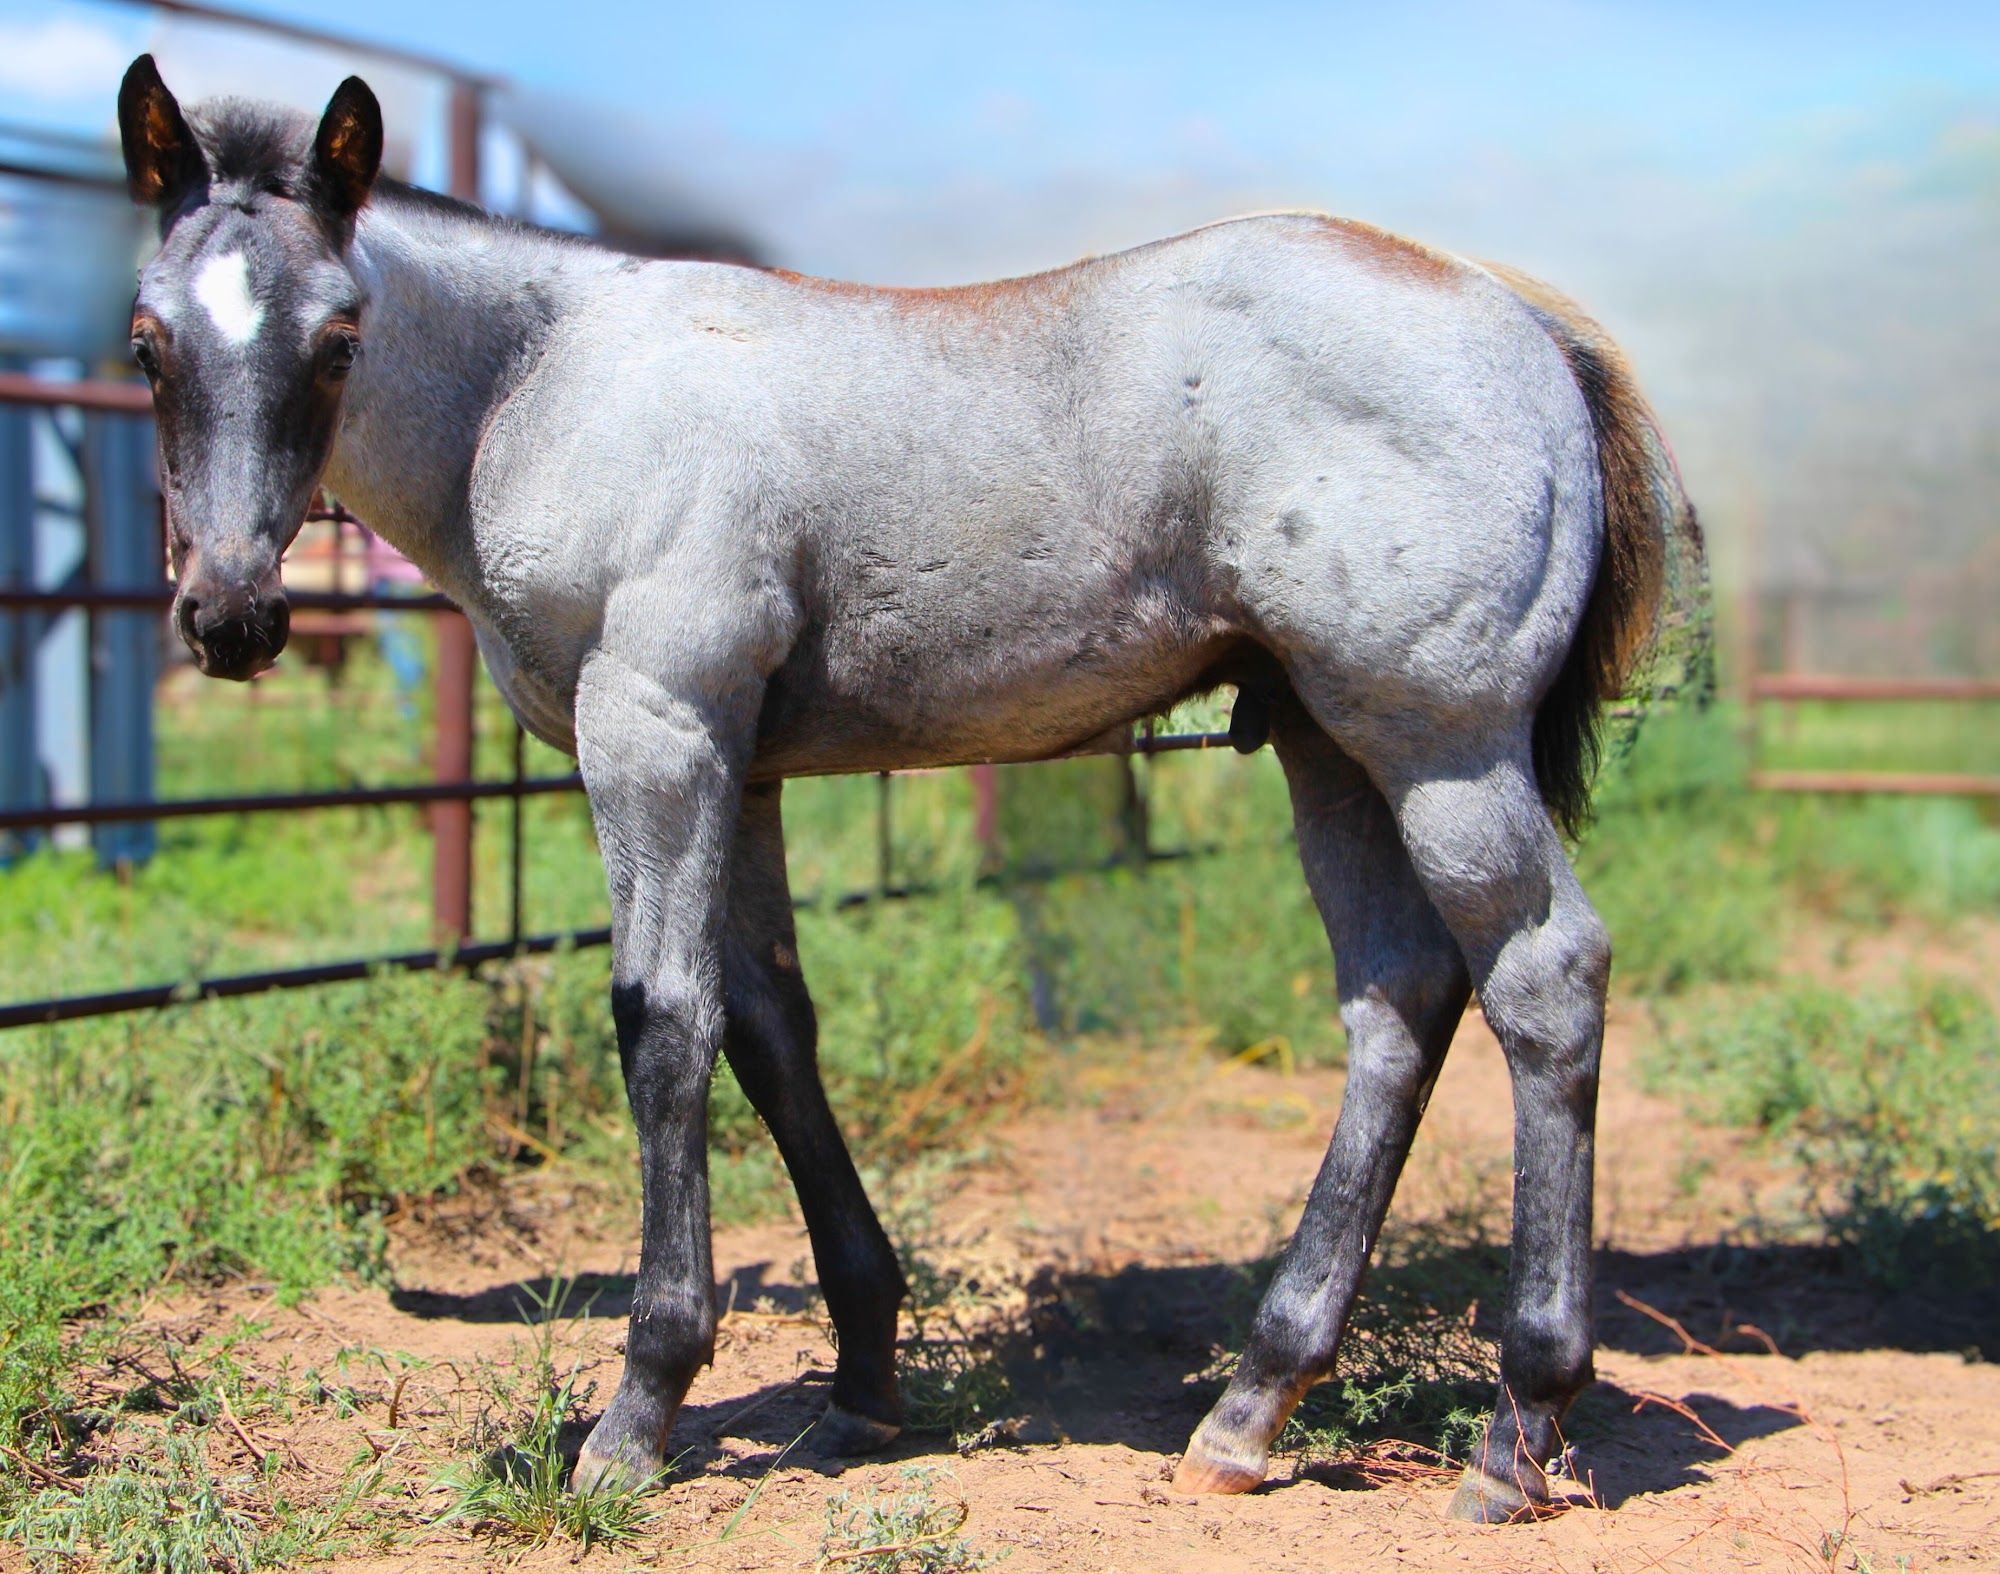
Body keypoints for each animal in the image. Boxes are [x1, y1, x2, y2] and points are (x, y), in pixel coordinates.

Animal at [115, 55, 1702, 1523]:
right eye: (147, 343)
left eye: (338, 336)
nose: (232, 614)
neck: (542, 378)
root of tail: (1523, 317)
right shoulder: (740, 763)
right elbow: (772, 1031)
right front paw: (865, 1373)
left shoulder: (655, 727)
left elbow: (662, 1023)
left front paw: (638, 1407)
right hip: (1328, 740)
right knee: (1396, 996)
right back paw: (1253, 1400)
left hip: (1440, 739)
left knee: (1543, 977)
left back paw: (1517, 1424)